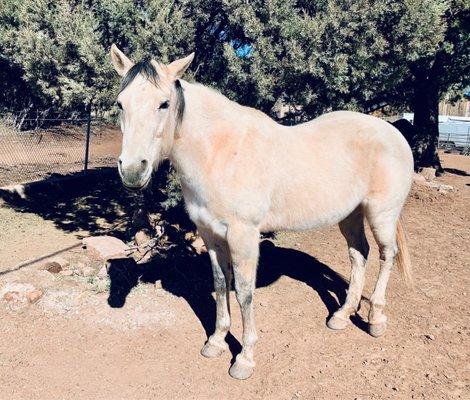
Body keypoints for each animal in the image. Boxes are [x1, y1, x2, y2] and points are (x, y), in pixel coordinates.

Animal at [109, 45, 412, 380]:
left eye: (163, 104)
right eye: (120, 104)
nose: (133, 171)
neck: (220, 154)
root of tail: (392, 131)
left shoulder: (243, 236)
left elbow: (244, 292)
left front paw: (244, 358)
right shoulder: (211, 235)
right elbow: (220, 285)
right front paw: (216, 342)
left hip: (381, 214)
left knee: (386, 255)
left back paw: (375, 319)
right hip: (350, 215)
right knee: (359, 255)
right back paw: (342, 316)